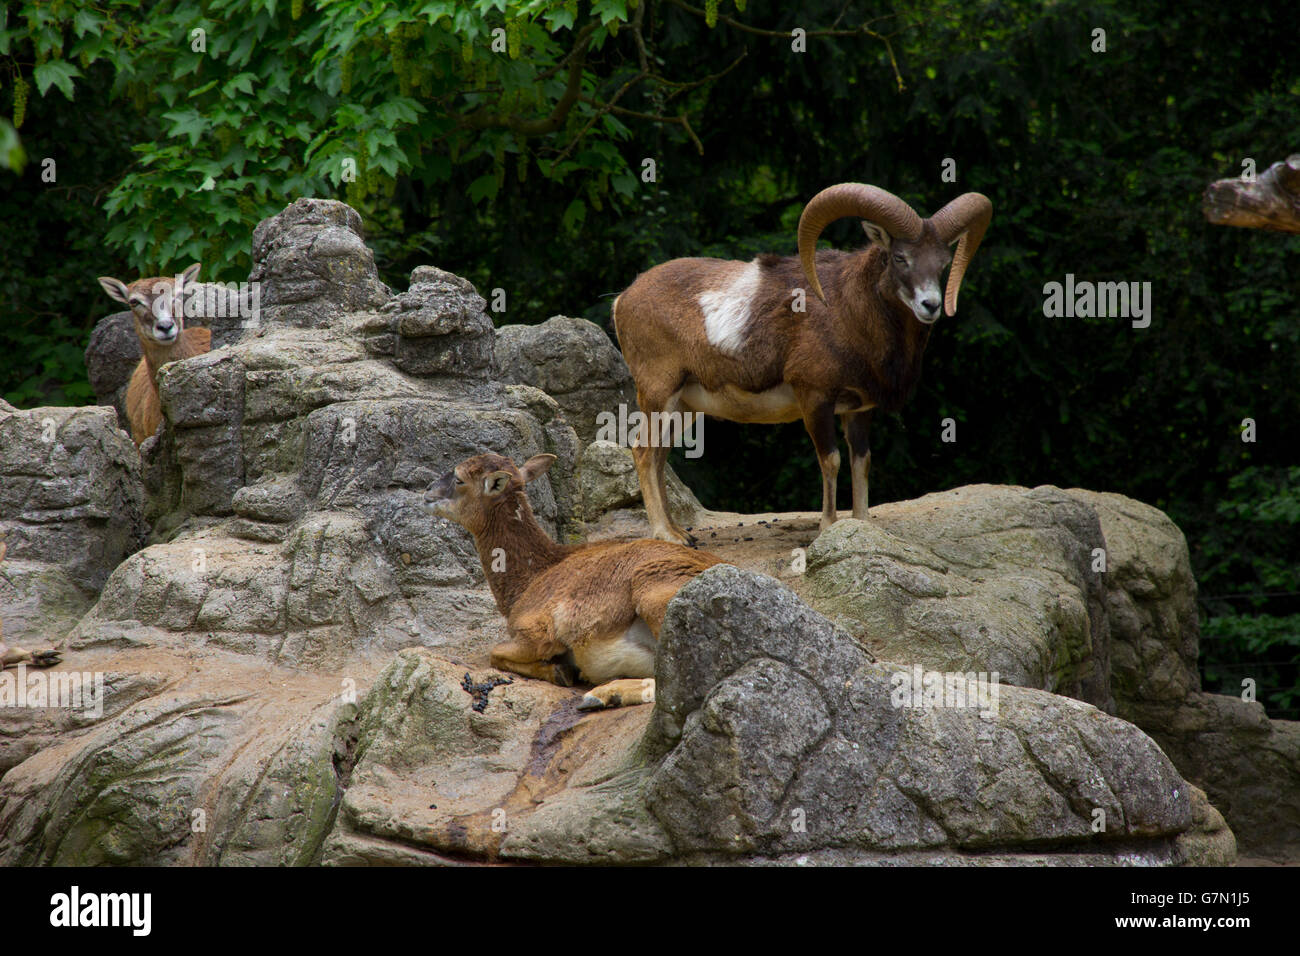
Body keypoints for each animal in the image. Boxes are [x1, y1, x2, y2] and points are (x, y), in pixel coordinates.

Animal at [423, 452, 726, 710]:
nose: (427, 492)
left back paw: (601, 695)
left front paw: (560, 672)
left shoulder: (535, 633)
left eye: (459, 478)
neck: (531, 579)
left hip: (655, 597)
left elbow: (495, 653)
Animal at [612, 182, 992, 543]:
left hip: (684, 407)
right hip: (659, 394)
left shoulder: (859, 410)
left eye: (943, 262)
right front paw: (828, 527)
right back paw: (667, 536)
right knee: (643, 452)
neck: (848, 312)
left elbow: (861, 462)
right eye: (900, 257)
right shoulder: (815, 399)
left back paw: (682, 533)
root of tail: (623, 299)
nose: (931, 305)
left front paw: (862, 525)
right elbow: (831, 460)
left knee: (660, 455)